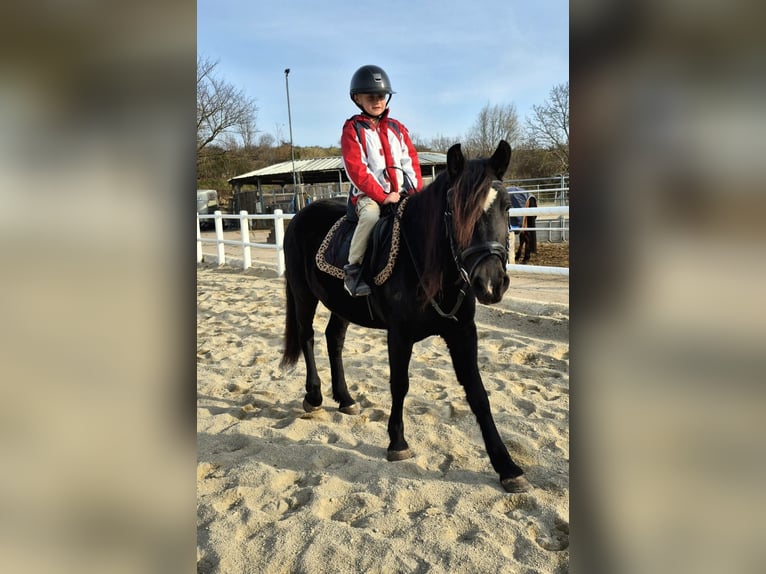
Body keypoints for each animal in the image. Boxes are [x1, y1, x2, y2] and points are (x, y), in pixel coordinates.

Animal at [284, 142, 536, 492]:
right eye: (454, 209)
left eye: (506, 206)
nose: (490, 283)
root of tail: (299, 217)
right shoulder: (399, 335)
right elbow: (400, 384)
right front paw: (397, 442)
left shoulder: (463, 332)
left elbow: (478, 394)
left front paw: (507, 467)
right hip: (303, 295)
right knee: (307, 337)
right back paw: (314, 395)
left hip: (340, 304)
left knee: (333, 339)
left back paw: (345, 398)